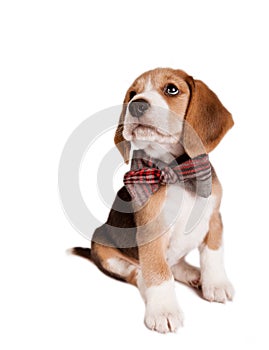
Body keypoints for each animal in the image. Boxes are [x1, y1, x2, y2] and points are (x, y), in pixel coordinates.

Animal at [72, 67, 233, 334]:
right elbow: (159, 273)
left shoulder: (214, 217)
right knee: (139, 273)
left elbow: (213, 253)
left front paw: (216, 284)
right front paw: (164, 311)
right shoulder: (152, 232)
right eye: (132, 93)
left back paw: (192, 273)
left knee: (174, 263)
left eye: (172, 89)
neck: (175, 172)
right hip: (105, 251)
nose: (136, 105)